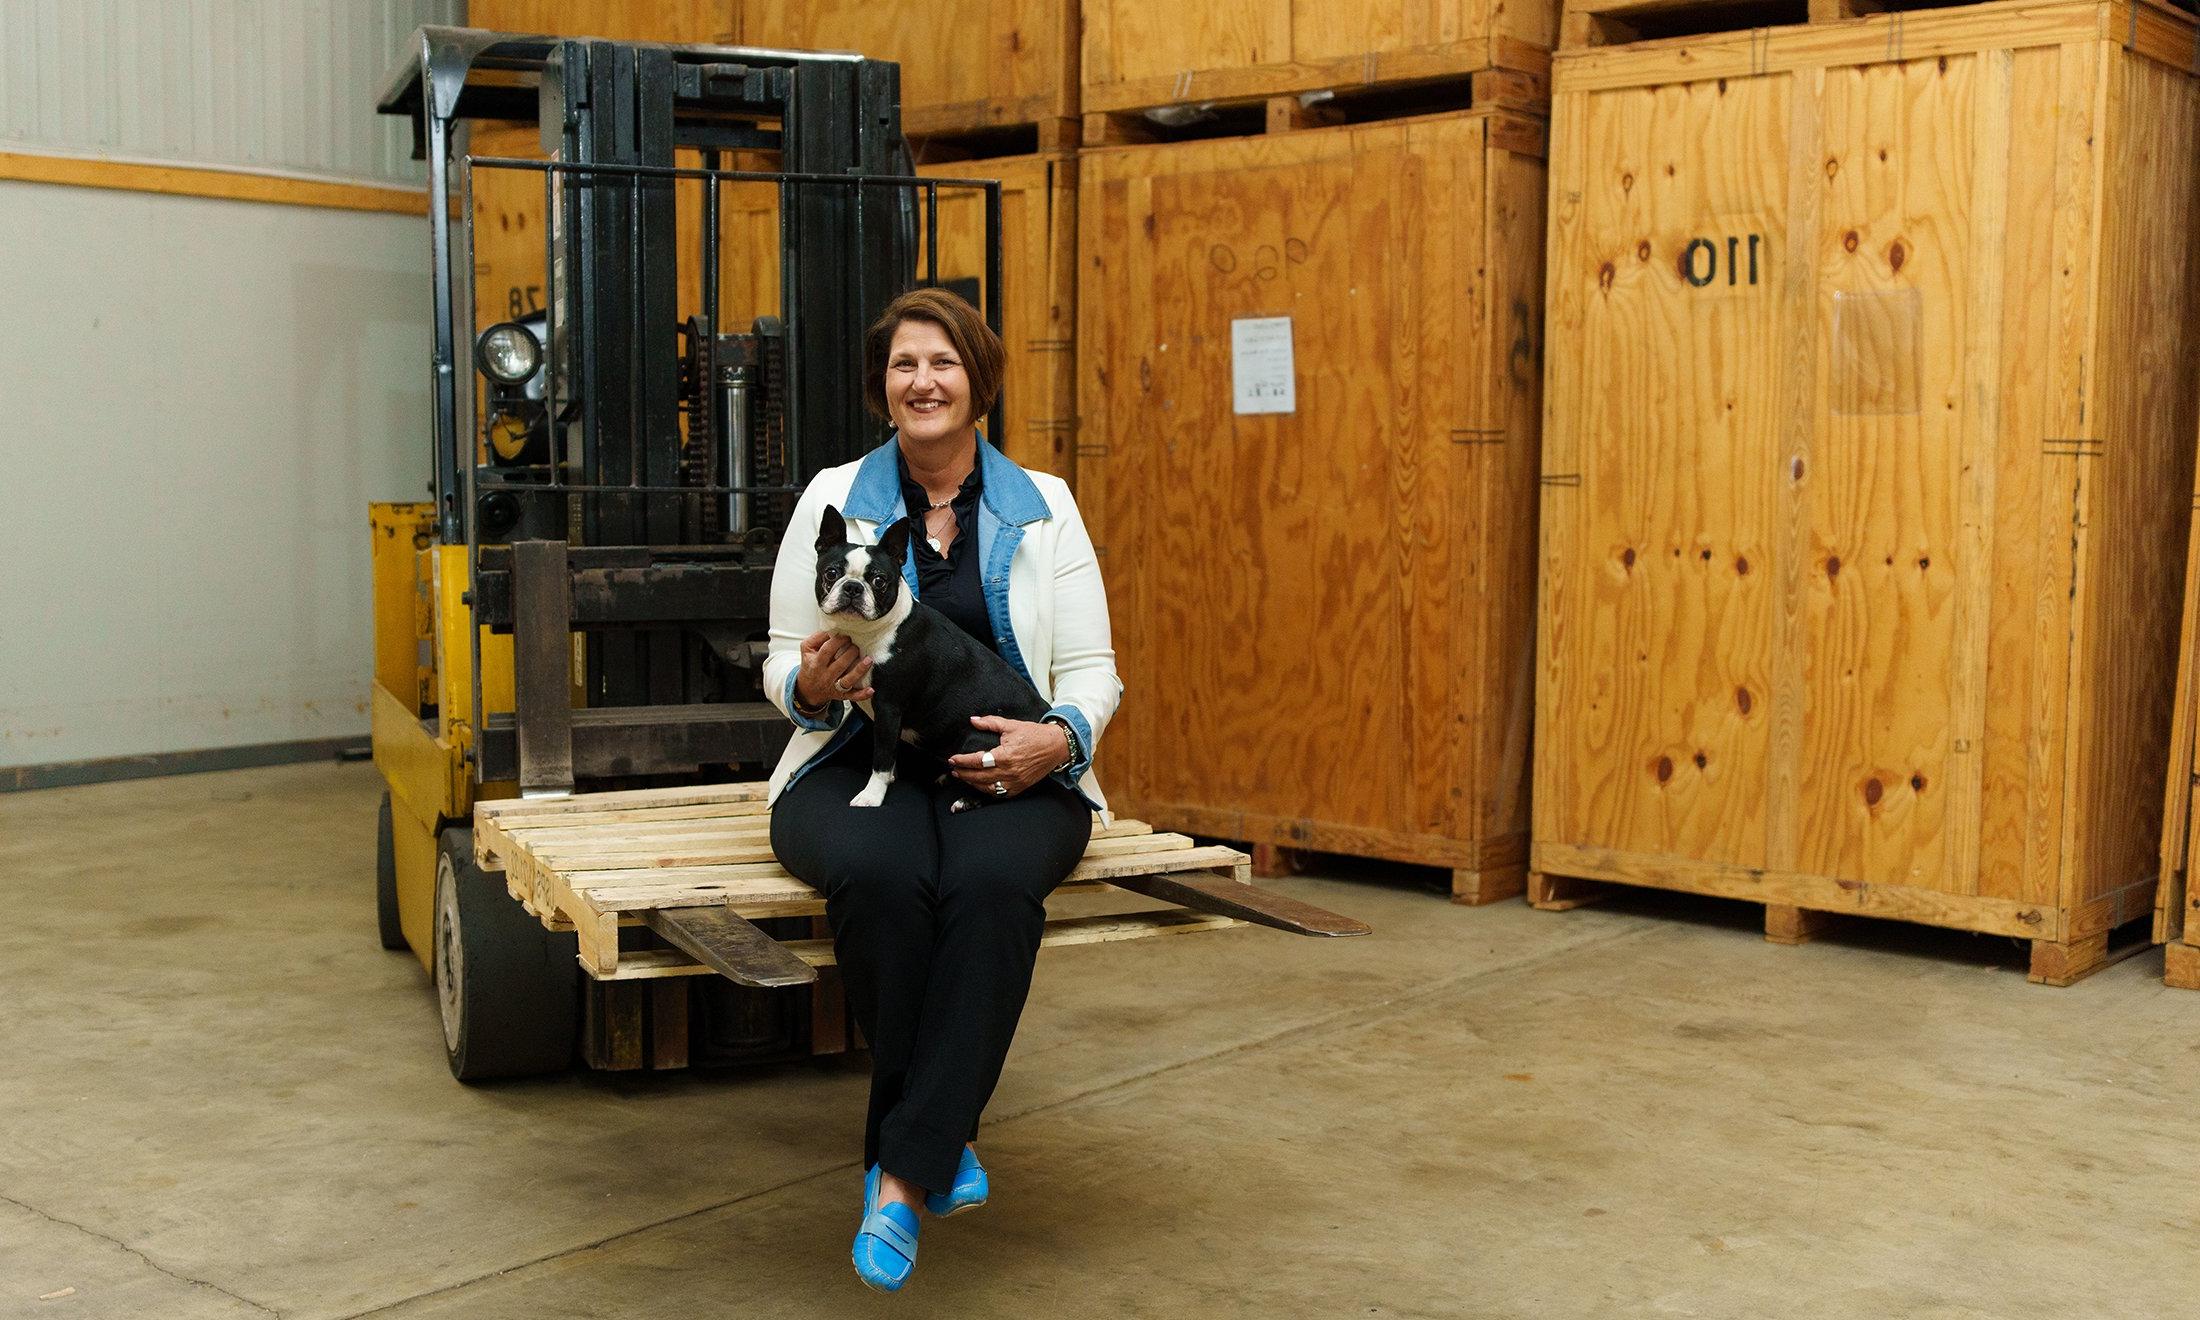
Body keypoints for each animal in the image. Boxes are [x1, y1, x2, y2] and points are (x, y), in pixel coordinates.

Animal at [814, 506, 1051, 809]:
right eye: (831, 573)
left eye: (879, 581)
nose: (853, 587)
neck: (868, 635)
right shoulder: (869, 711)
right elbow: (887, 751)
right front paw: (889, 779)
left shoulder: (888, 708)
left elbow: (881, 757)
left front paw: (872, 795)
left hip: (979, 740)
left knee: (1008, 786)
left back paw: (967, 799)